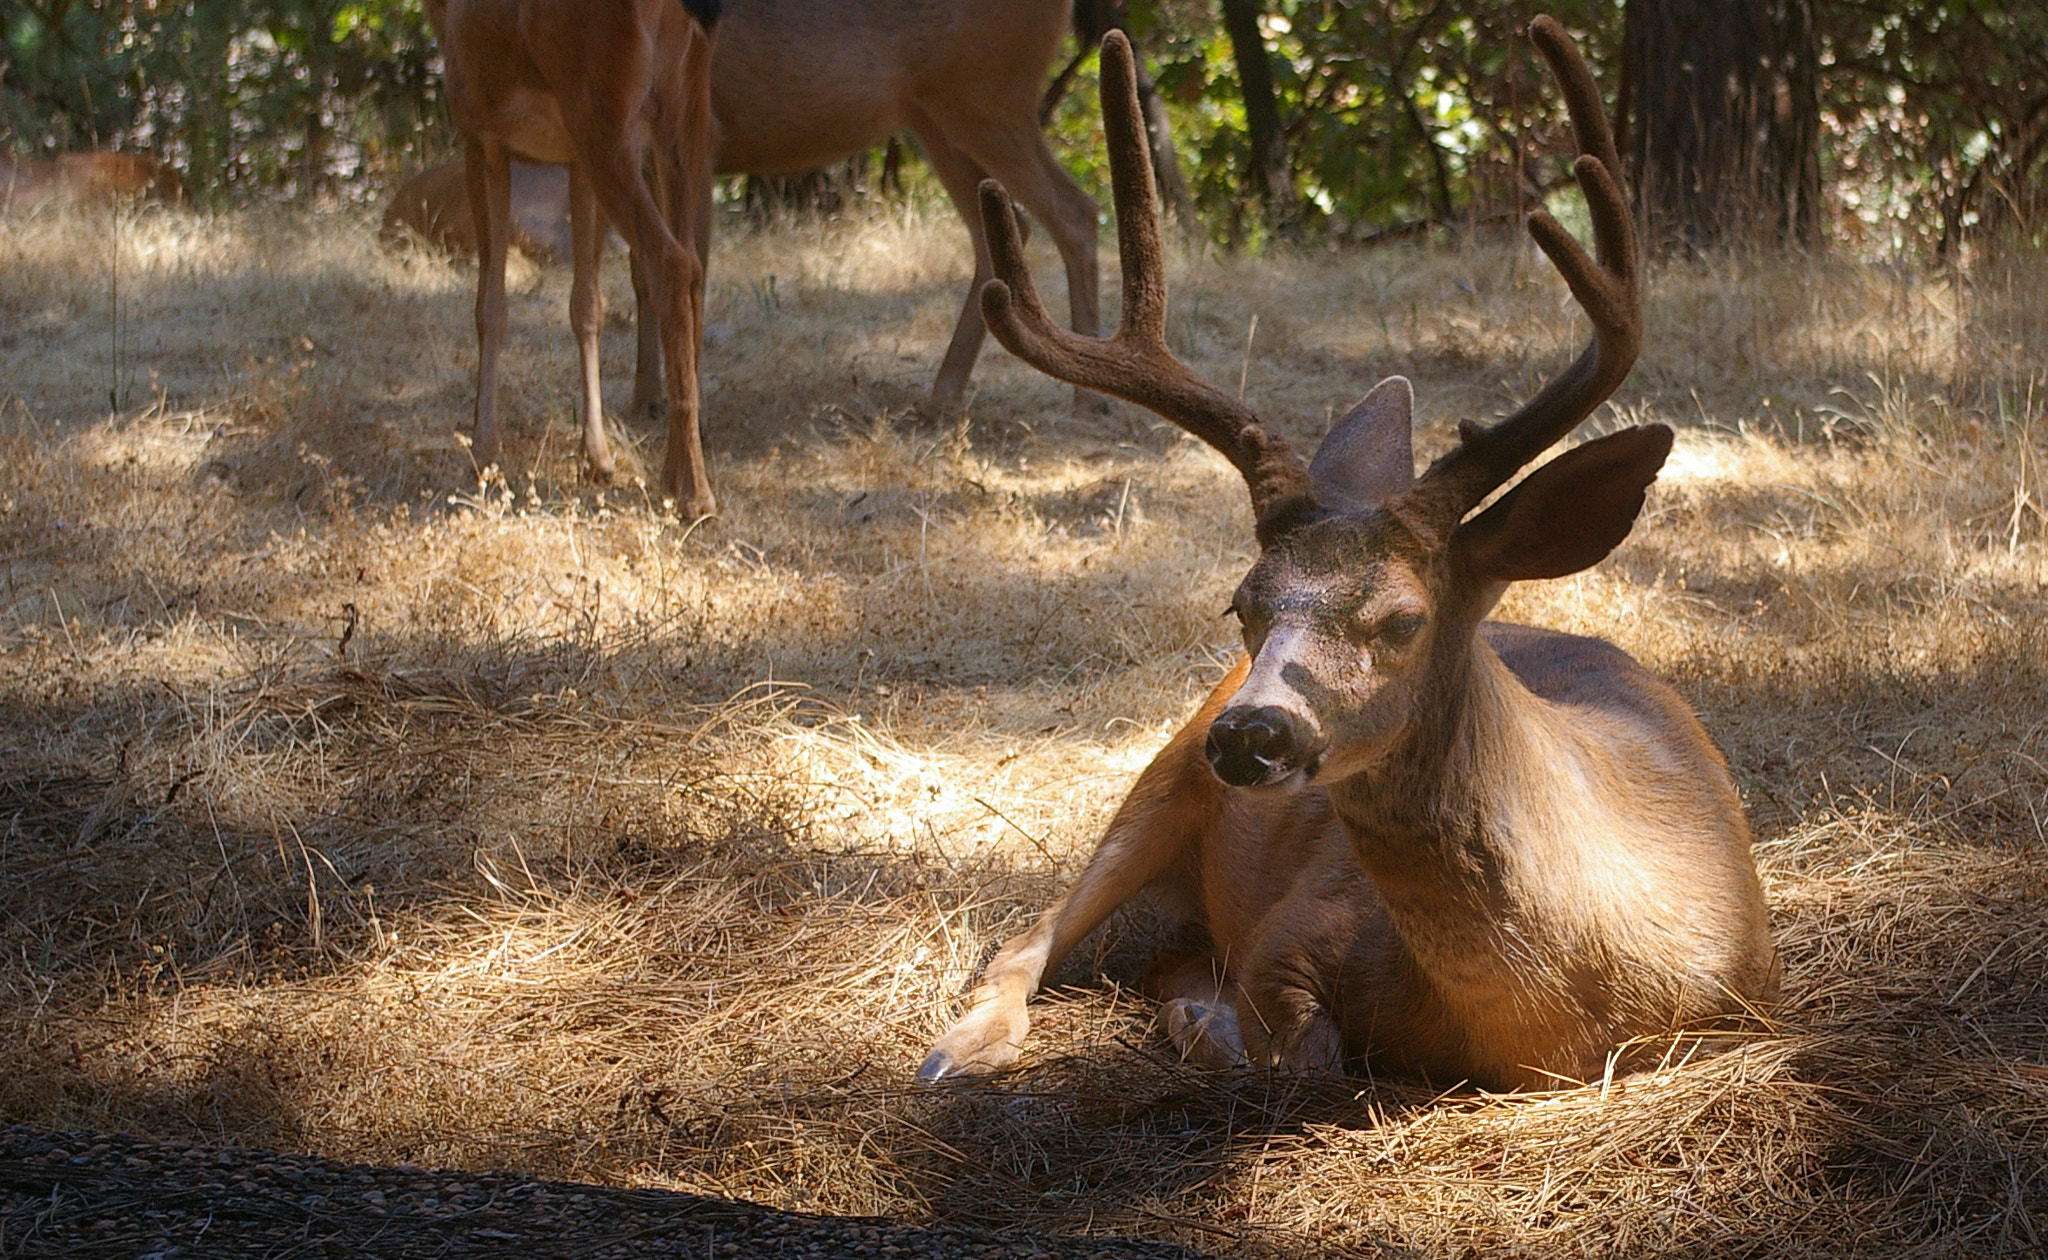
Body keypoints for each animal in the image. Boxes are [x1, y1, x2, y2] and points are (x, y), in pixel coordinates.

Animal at [428, 0, 724, 518]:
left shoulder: (480, 132)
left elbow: (490, 305)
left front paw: (484, 451)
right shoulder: (572, 158)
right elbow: (586, 306)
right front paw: (597, 458)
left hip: (601, 112)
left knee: (670, 260)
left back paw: (693, 494)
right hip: (682, 109)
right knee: (694, 263)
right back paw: (674, 473)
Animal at [929, 19, 1777, 1098]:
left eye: (1405, 617)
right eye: (1241, 605)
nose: (1252, 735)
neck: (1554, 1016)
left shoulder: (1751, 998)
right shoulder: (1289, 932)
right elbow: (1299, 1054)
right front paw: (1209, 1023)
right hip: (1157, 778)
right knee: (1032, 934)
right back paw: (963, 1048)